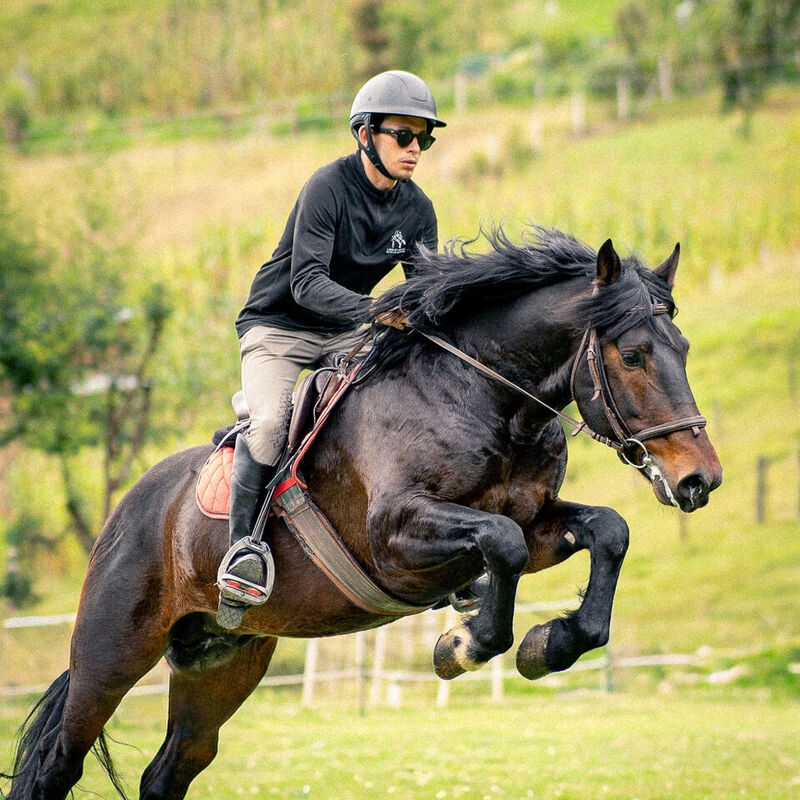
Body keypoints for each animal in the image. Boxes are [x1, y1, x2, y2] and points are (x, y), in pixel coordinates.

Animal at [2, 226, 721, 800]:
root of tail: (126, 514)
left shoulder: (539, 519)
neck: (488, 397)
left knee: (171, 769)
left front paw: (551, 644)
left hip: (220, 661)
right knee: (57, 766)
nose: (700, 479)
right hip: (111, 654)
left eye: (683, 348)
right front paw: (461, 646)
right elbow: (503, 544)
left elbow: (603, 531)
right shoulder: (395, 541)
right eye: (633, 355)